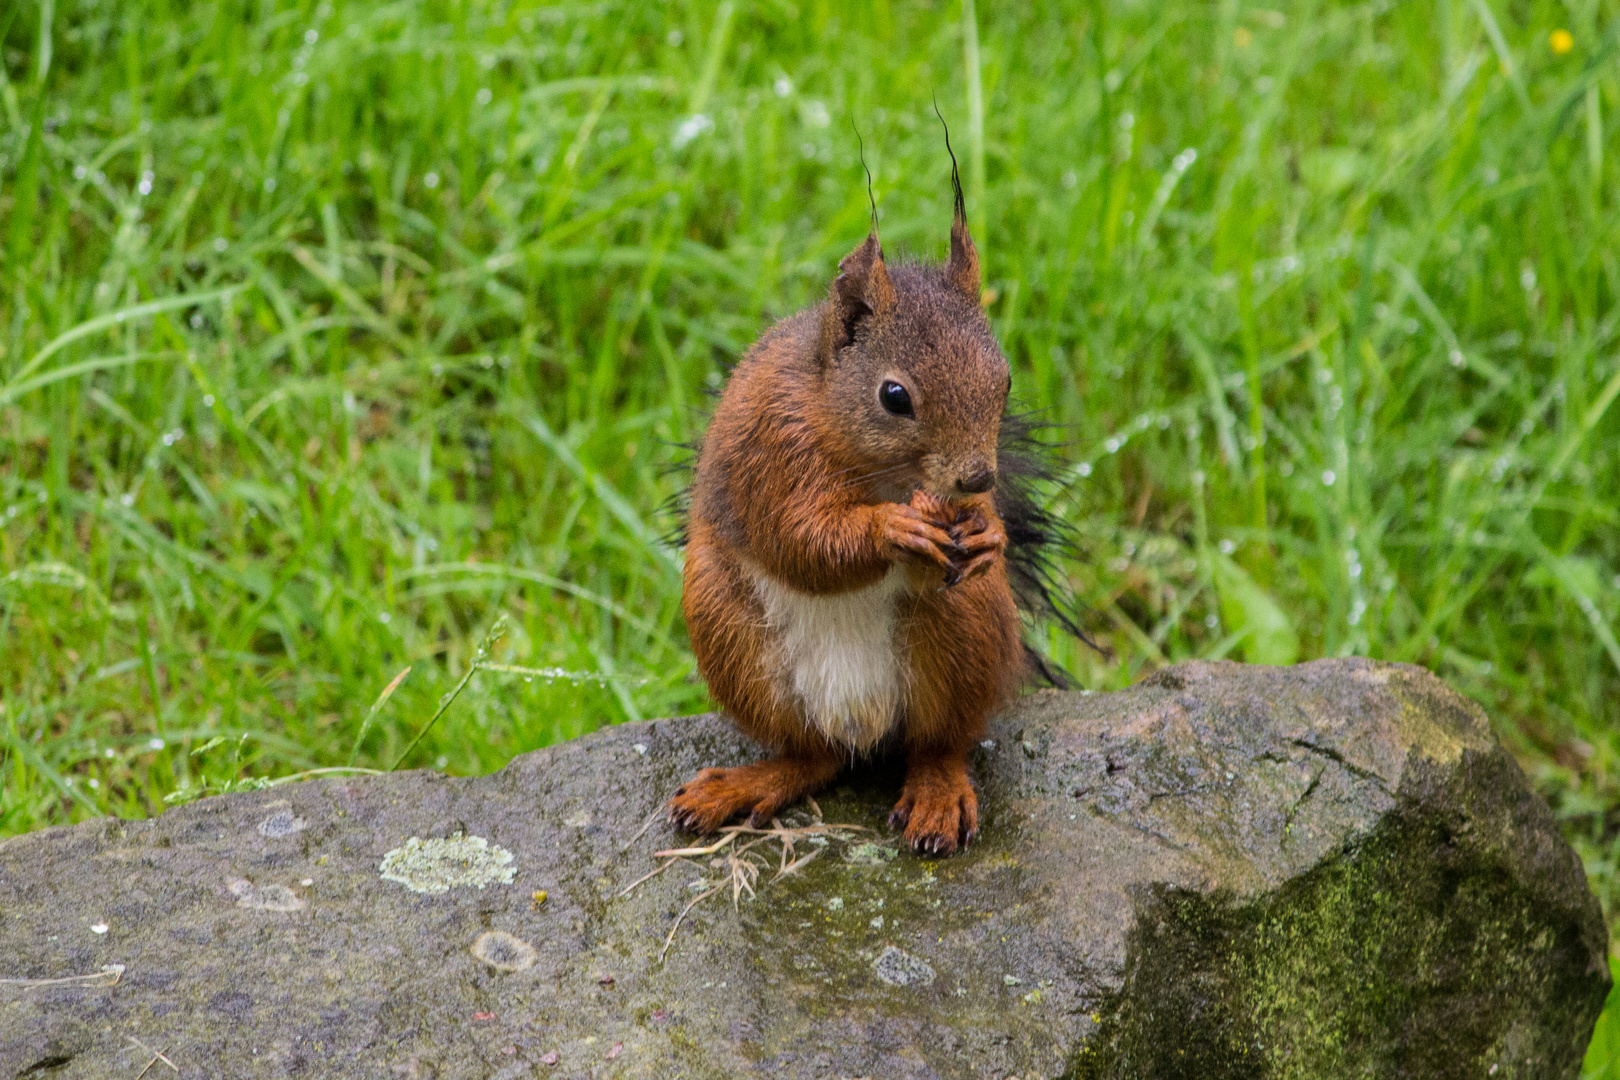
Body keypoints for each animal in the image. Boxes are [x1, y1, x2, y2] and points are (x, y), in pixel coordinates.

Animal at [664, 160, 1082, 854]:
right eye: (894, 396)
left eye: (1005, 381)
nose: (978, 475)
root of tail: (864, 725)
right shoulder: (770, 451)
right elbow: (801, 540)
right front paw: (893, 528)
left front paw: (990, 531)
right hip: (728, 630)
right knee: (813, 757)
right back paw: (743, 784)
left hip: (965, 623)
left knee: (939, 744)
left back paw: (937, 795)